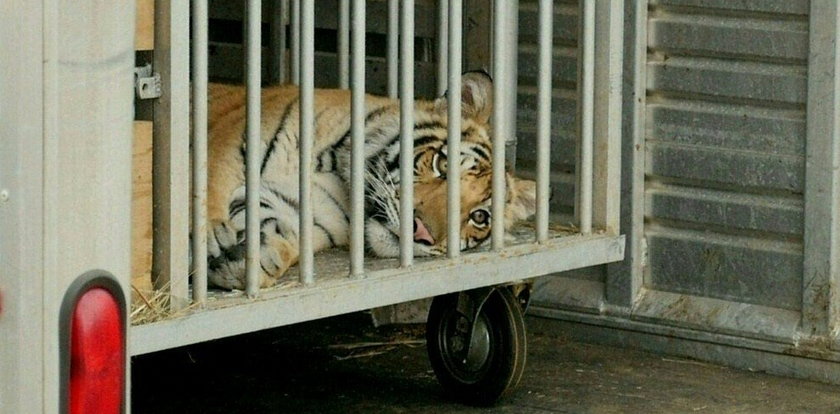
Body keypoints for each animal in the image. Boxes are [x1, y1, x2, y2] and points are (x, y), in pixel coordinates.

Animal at [207, 71, 540, 290]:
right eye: (442, 164)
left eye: (479, 217)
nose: (422, 234)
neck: (338, 170)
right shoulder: (227, 150)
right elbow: (206, 188)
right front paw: (213, 236)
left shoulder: (297, 204)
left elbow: (282, 231)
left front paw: (248, 262)